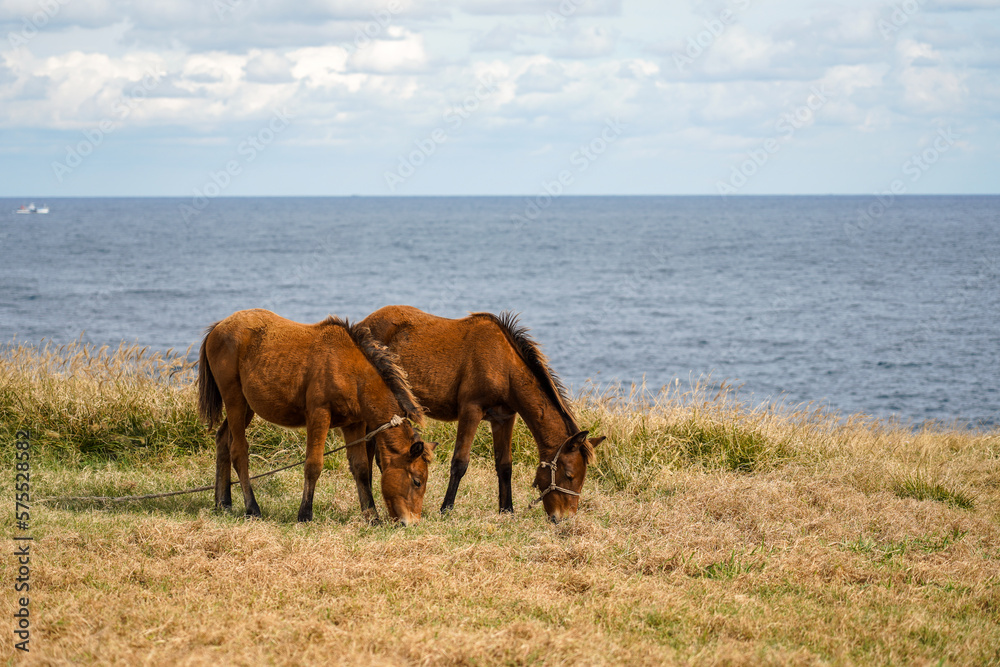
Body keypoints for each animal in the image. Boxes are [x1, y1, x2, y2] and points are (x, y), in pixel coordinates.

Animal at [197, 310, 436, 524]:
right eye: (417, 481)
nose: (412, 523)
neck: (351, 372)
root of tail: (218, 327)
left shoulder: (354, 423)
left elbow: (360, 468)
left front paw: (372, 516)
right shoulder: (319, 415)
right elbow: (313, 465)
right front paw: (305, 514)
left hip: (247, 407)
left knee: (222, 440)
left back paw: (223, 502)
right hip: (235, 401)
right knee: (239, 452)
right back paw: (252, 508)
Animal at [364, 306, 604, 520]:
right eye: (569, 475)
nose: (564, 518)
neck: (504, 366)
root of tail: (364, 323)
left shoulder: (504, 418)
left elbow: (505, 464)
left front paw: (507, 510)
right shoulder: (471, 410)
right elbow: (460, 462)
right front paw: (446, 510)